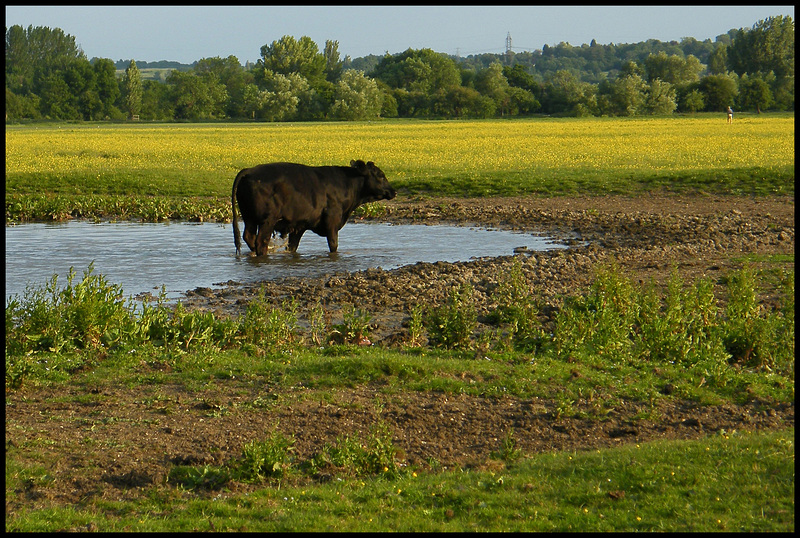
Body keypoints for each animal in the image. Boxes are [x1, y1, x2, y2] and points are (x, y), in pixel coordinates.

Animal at [231, 159, 396, 255]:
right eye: (381, 175)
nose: (393, 191)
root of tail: (250, 170)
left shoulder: (299, 225)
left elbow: (292, 246)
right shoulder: (332, 221)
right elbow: (333, 245)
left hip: (249, 217)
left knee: (249, 237)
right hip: (267, 220)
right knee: (260, 241)